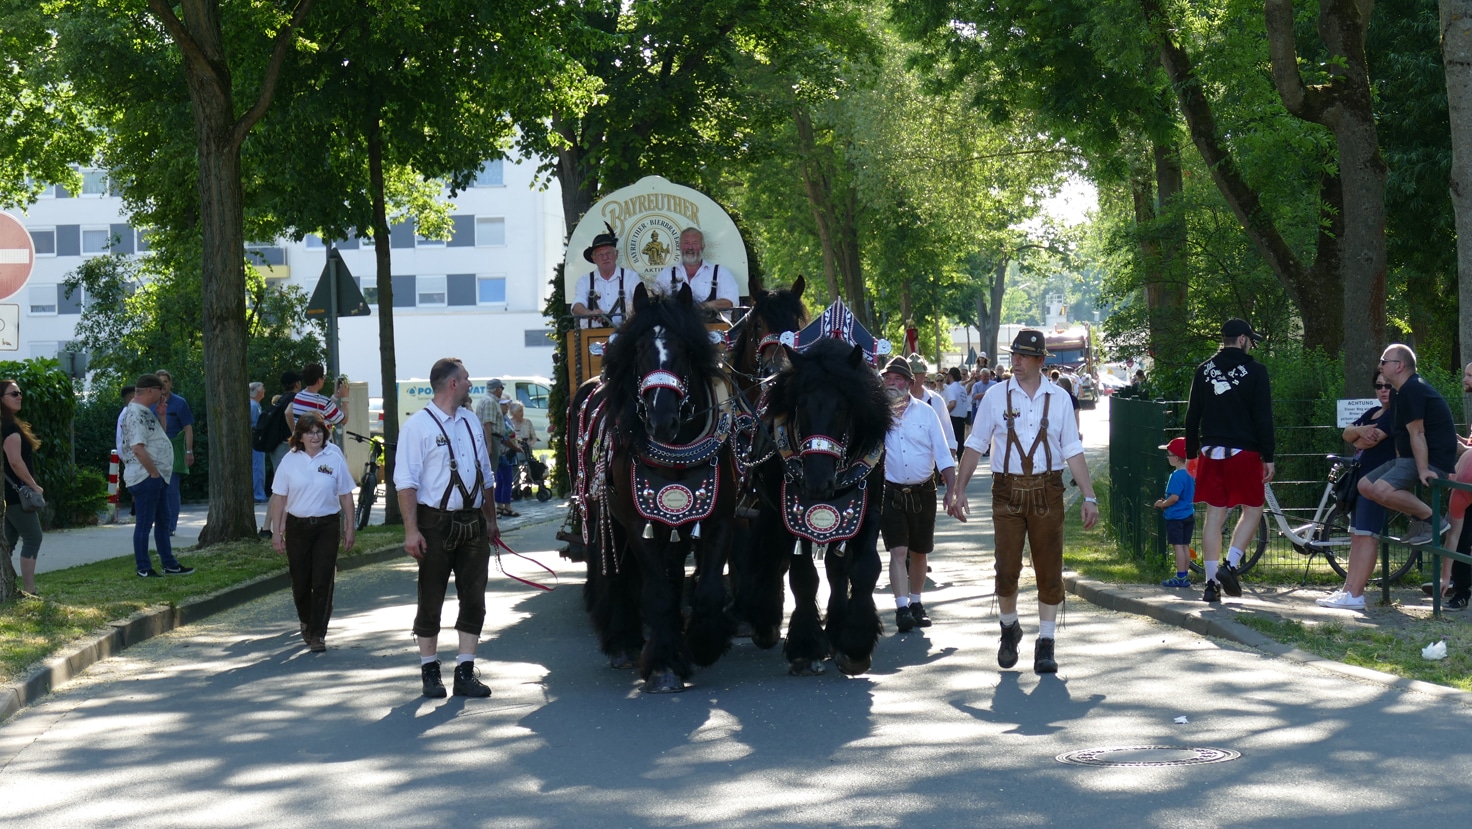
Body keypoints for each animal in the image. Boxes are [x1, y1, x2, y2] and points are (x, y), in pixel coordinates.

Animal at [574, 285, 736, 695]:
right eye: (639, 349)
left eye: (683, 349)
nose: (662, 420)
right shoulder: (638, 524)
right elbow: (658, 594)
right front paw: (663, 667)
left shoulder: (718, 518)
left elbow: (708, 589)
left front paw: (702, 644)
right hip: (604, 515)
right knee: (614, 573)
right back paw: (622, 642)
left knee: (673, 570)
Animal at [741, 340, 889, 677]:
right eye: (801, 405)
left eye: (843, 407)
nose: (817, 483)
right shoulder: (789, 516)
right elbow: (803, 577)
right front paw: (804, 647)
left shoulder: (869, 510)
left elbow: (865, 568)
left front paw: (855, 644)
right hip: (771, 510)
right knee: (770, 554)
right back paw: (765, 621)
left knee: (836, 570)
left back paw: (835, 629)